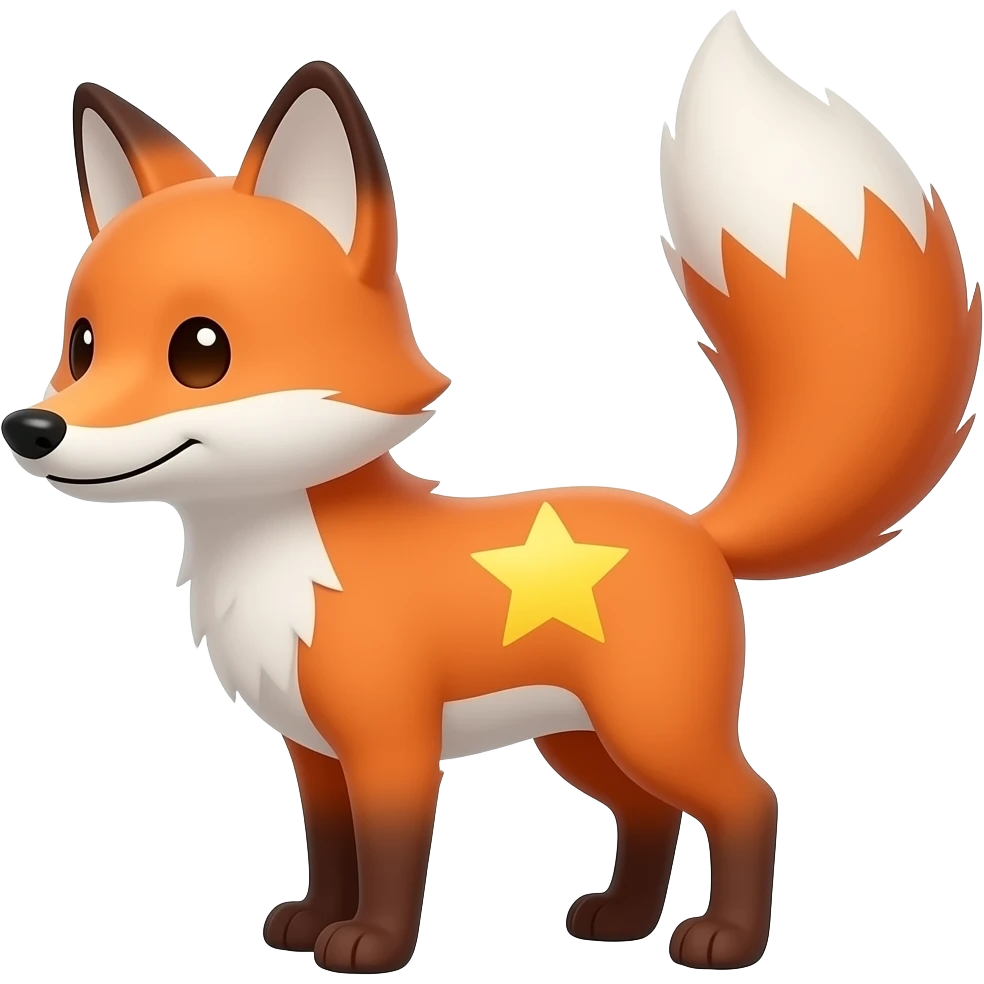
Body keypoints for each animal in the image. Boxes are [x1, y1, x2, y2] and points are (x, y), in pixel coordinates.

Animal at [2, 11, 980, 974]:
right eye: (82, 344)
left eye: (200, 351)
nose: (32, 429)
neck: (281, 558)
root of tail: (698, 530)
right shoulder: (312, 751)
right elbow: (330, 846)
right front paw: (311, 924)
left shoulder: (391, 742)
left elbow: (390, 855)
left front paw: (370, 945)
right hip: (580, 739)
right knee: (650, 814)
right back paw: (622, 920)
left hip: (652, 725)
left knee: (749, 799)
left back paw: (725, 941)